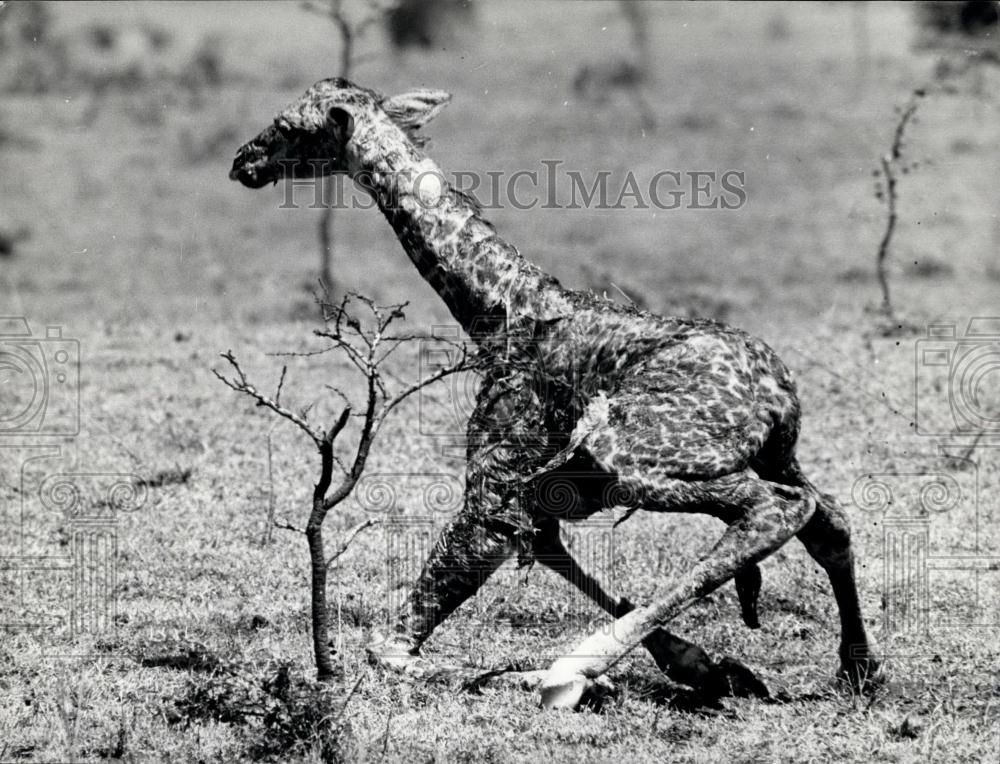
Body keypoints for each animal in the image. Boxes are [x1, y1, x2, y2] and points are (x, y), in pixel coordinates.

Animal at [229, 78, 881, 709]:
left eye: (288, 126)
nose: (243, 160)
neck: (498, 311)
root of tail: (775, 390)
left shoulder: (491, 492)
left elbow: (389, 649)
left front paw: (574, 677)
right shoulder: (541, 495)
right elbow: (548, 552)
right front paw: (699, 665)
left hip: (634, 454)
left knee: (778, 508)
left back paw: (573, 668)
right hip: (772, 453)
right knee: (828, 518)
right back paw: (859, 669)